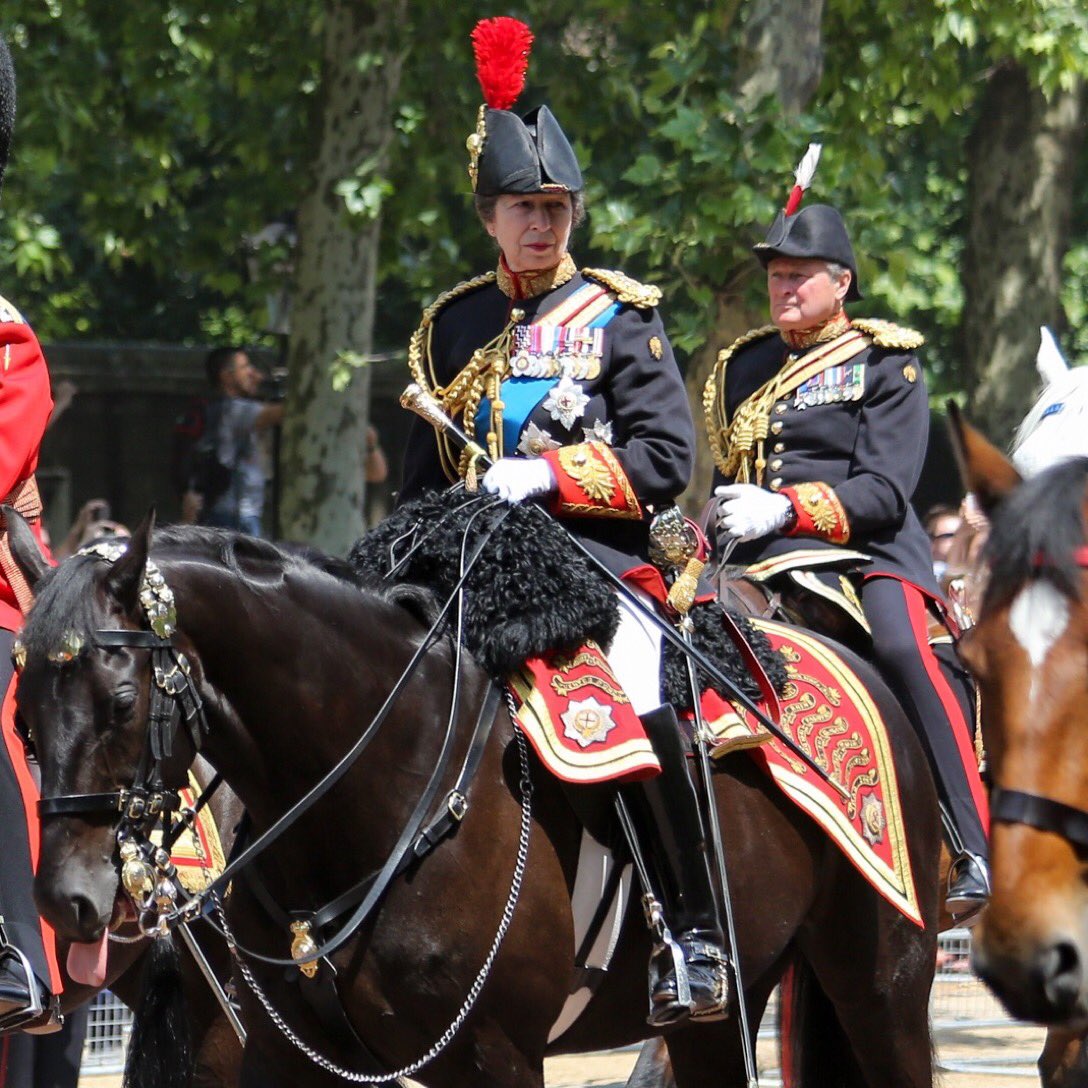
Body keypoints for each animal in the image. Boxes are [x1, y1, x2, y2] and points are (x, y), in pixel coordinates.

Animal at [8, 511, 940, 1088]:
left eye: (120, 702)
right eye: (22, 719)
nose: (67, 900)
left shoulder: (494, 1057)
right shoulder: (289, 1057)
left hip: (882, 986)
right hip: (725, 1020)